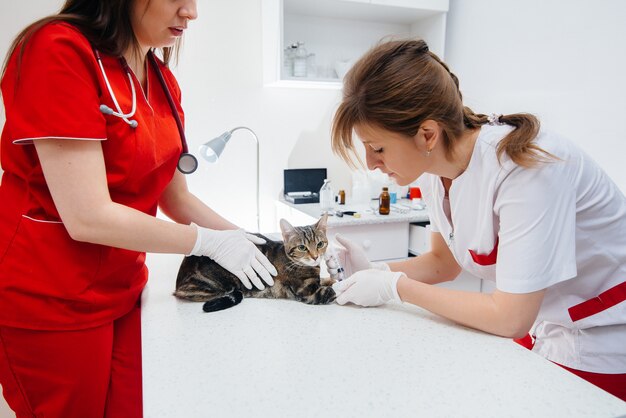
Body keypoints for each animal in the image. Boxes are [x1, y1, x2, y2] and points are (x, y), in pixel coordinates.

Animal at [173, 214, 334, 312]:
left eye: (320, 244)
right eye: (302, 247)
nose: (315, 257)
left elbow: (325, 280)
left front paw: (331, 278)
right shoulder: (309, 292)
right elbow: (331, 291)